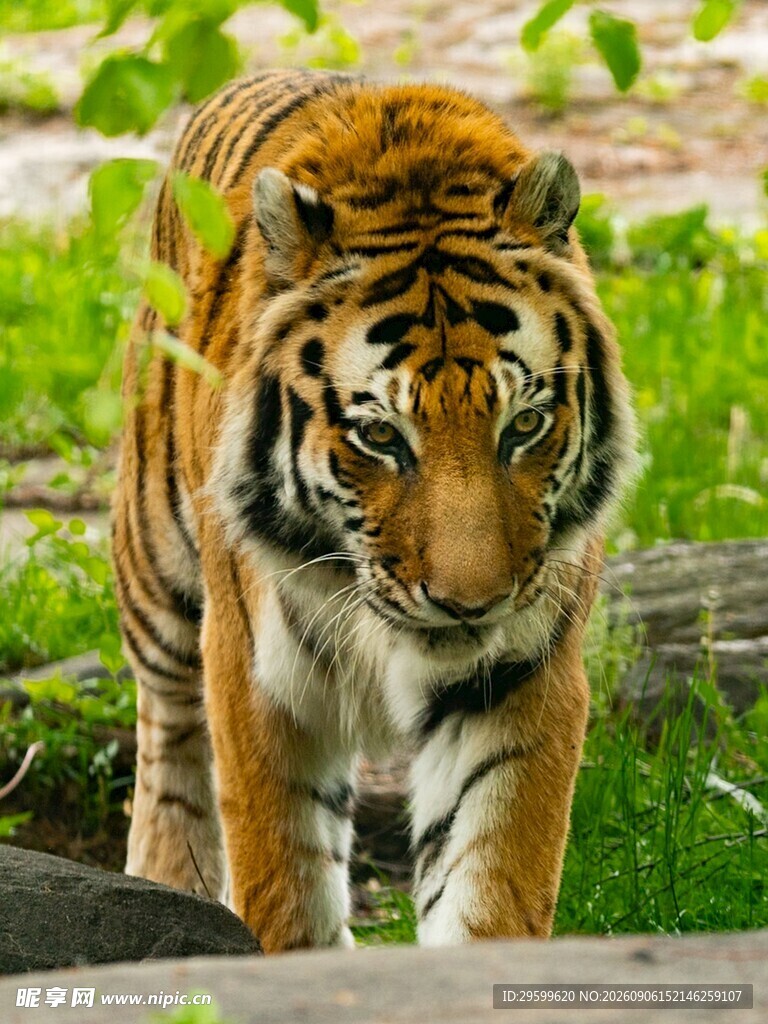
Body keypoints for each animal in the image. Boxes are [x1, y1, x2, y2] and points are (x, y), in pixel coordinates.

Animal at [112, 68, 637, 953]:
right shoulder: (258, 674)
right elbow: (283, 880)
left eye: (524, 425)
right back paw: (166, 881)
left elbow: (490, 876)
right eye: (381, 436)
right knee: (169, 735)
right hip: (155, 558)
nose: (471, 603)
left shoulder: (519, 680)